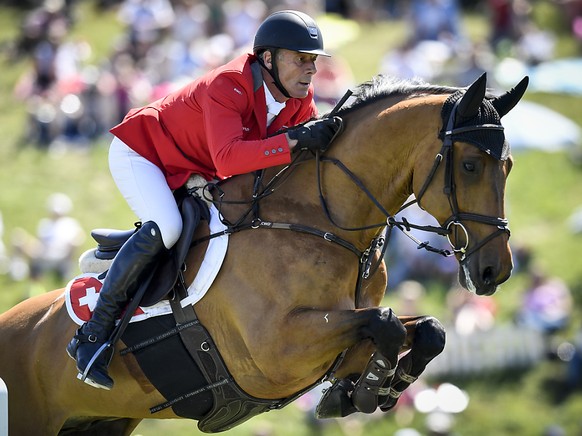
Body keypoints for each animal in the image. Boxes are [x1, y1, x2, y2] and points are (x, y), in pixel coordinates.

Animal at [0, 73, 528, 434]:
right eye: (470, 165)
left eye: (508, 166)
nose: (494, 271)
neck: (322, 221)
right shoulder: (275, 352)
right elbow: (386, 324)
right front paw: (367, 389)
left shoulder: (335, 337)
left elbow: (426, 330)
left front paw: (370, 389)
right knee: (153, 232)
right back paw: (90, 349)